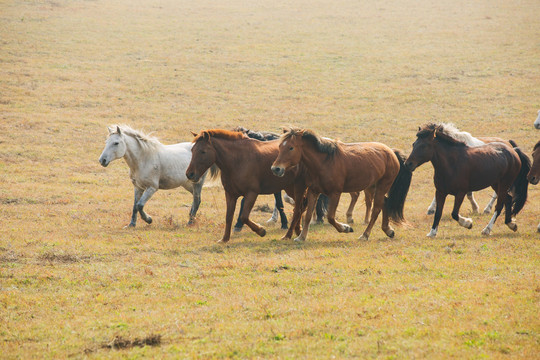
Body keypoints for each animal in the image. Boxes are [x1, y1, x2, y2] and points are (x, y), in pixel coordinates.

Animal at [272, 126, 412, 242]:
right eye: (280, 147)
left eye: (291, 147)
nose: (276, 169)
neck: (324, 162)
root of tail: (391, 152)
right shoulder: (313, 191)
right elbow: (307, 216)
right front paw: (301, 237)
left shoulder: (335, 194)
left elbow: (330, 217)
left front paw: (346, 228)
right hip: (373, 187)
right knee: (385, 203)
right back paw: (388, 230)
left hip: (383, 185)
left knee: (376, 209)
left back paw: (365, 235)